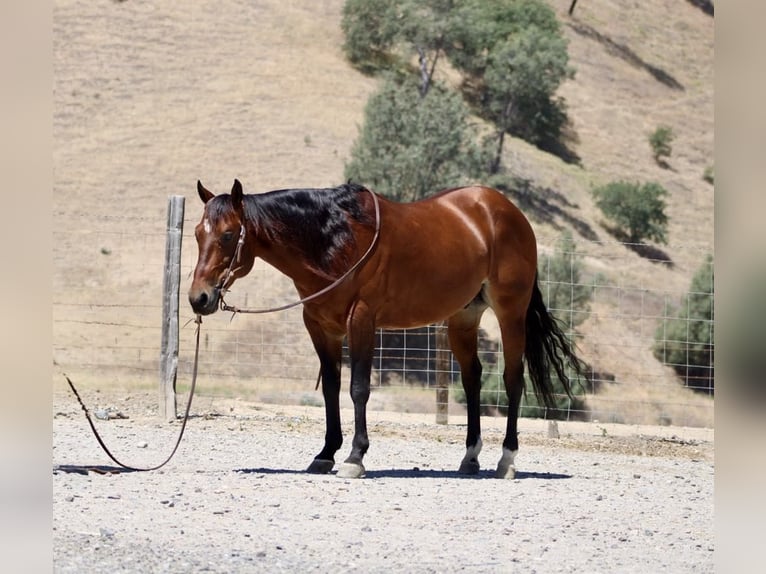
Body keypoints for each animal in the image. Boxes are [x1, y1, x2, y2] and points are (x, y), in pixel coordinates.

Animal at [188, 179, 586, 479]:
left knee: (512, 379)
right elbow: (330, 389)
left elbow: (358, 388)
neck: (335, 239)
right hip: (463, 317)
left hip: (510, 313)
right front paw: (325, 454)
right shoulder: (320, 327)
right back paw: (470, 457)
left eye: (228, 235)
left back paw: (506, 460)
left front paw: (354, 457)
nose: (199, 298)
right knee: (472, 377)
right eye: (196, 234)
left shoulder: (362, 321)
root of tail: (506, 210)